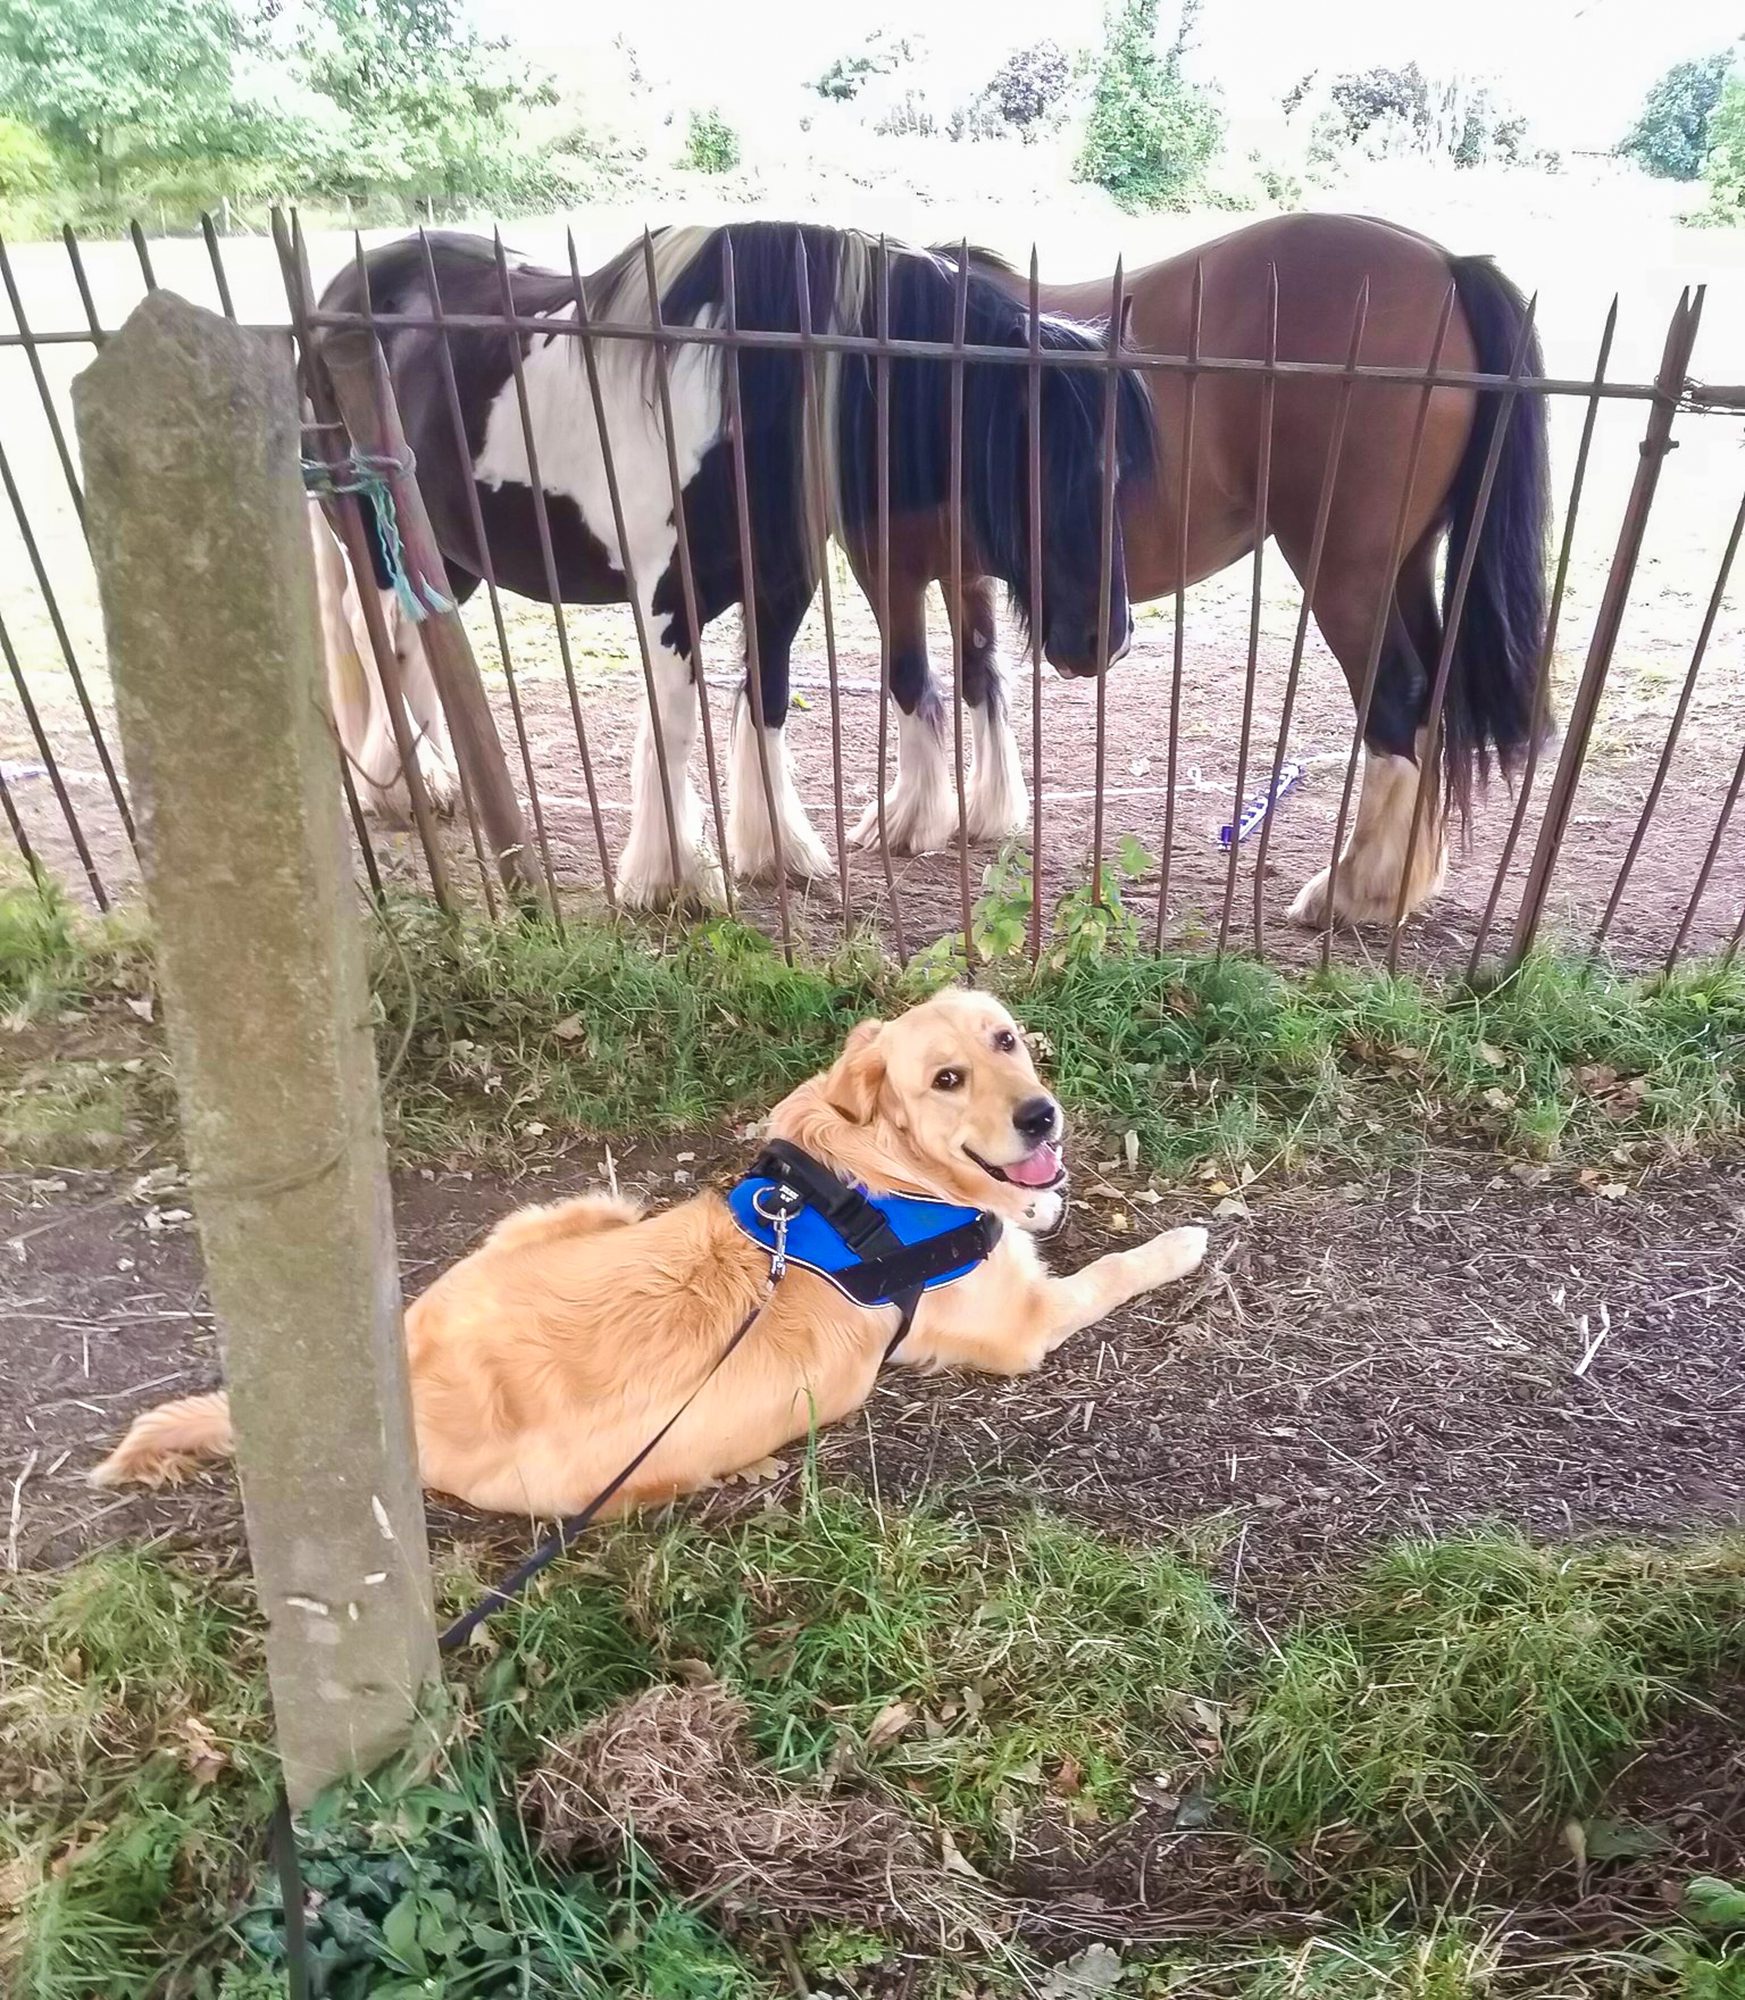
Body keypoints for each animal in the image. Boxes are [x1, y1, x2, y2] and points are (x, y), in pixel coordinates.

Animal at [88, 992, 1208, 1520]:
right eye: (945, 1077)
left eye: (1005, 1039)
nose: (1039, 1114)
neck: (879, 1169)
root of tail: (402, 1376)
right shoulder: (1020, 1323)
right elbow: (1115, 1266)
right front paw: (1182, 1238)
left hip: (588, 1207)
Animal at [316, 223, 1160, 904]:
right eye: (1045, 468)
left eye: (1123, 470)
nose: (1106, 640)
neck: (750, 390)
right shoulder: (670, 599)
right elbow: (674, 726)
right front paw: (670, 879)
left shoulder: (780, 589)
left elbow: (768, 703)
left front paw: (777, 850)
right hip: (375, 537)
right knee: (373, 634)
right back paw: (407, 783)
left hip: (447, 555)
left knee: (414, 640)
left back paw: (431, 776)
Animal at [928, 215, 1552, 932]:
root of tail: (1446, 263)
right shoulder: (958, 570)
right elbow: (977, 671)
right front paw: (985, 811)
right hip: (1407, 563)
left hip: (1343, 574)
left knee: (1396, 696)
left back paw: (1350, 890)